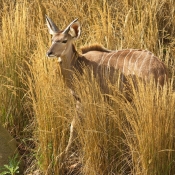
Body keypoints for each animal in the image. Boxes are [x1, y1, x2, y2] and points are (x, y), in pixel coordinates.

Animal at [45, 15, 168, 154]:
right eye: (52, 39)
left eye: (64, 40)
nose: (49, 52)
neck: (78, 64)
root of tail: (162, 69)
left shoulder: (85, 99)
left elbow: (74, 125)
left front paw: (63, 154)